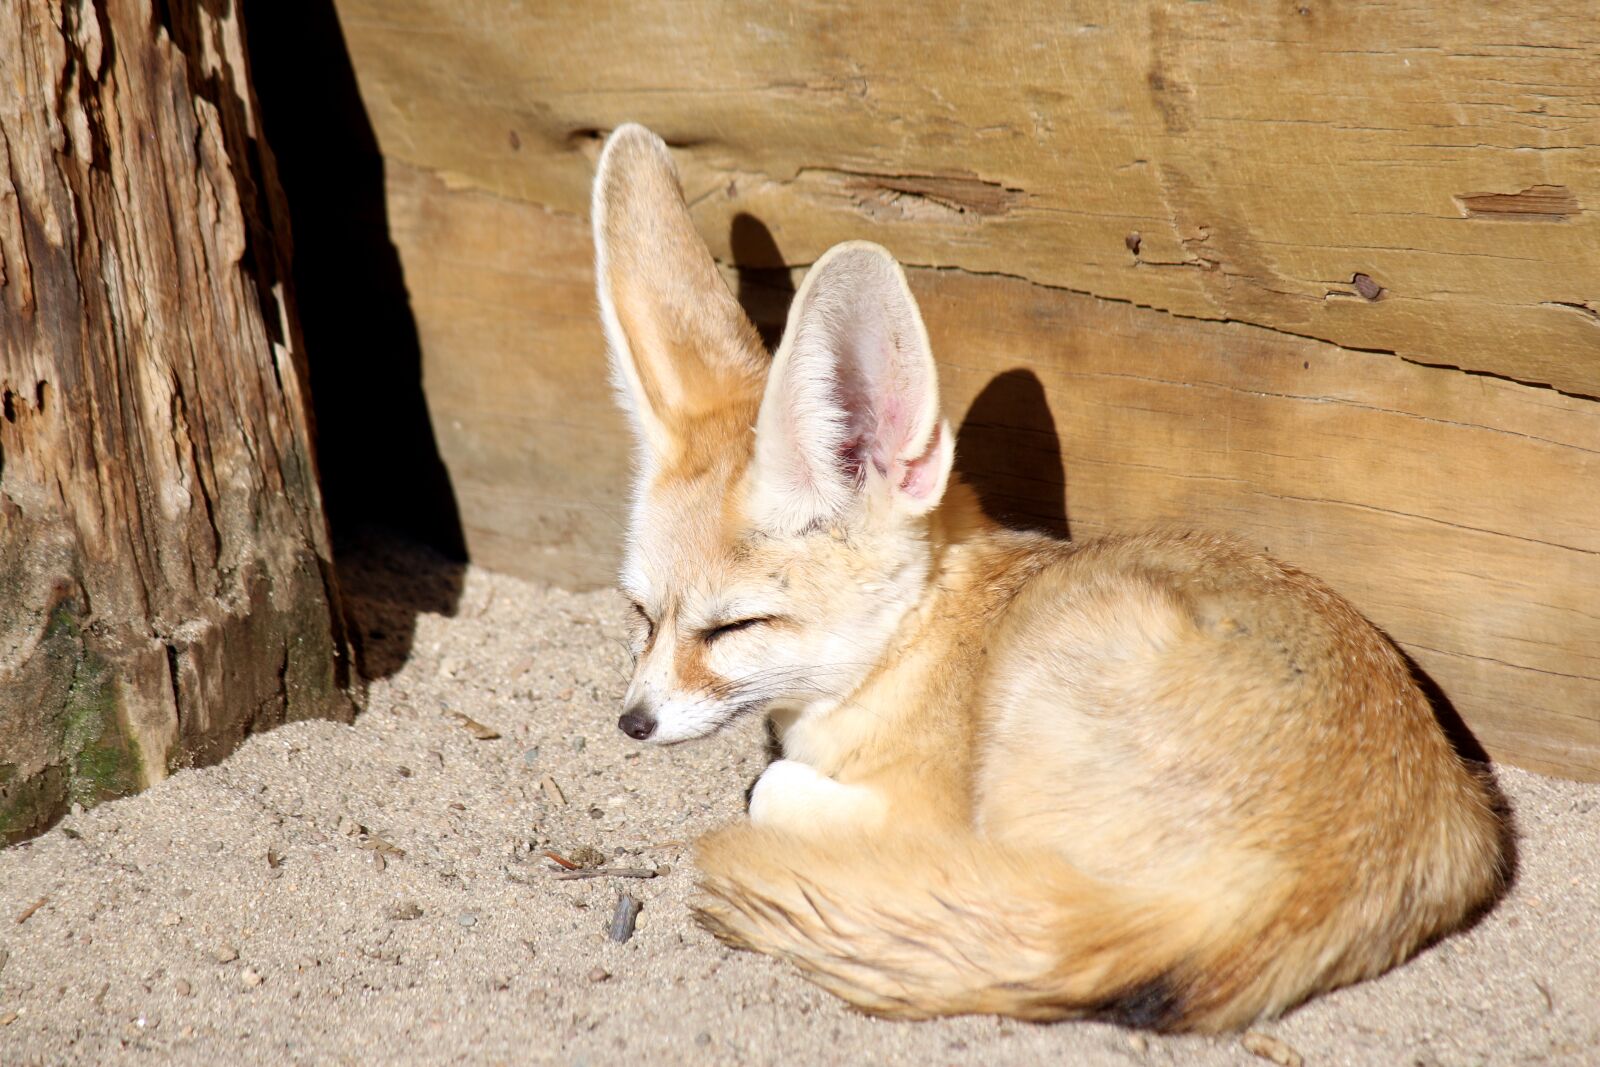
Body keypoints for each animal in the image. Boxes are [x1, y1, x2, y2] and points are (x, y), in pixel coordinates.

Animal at [588, 125, 1497, 1036]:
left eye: (735, 627)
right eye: (641, 612)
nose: (632, 723)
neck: (919, 642)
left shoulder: (929, 802)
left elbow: (771, 785)